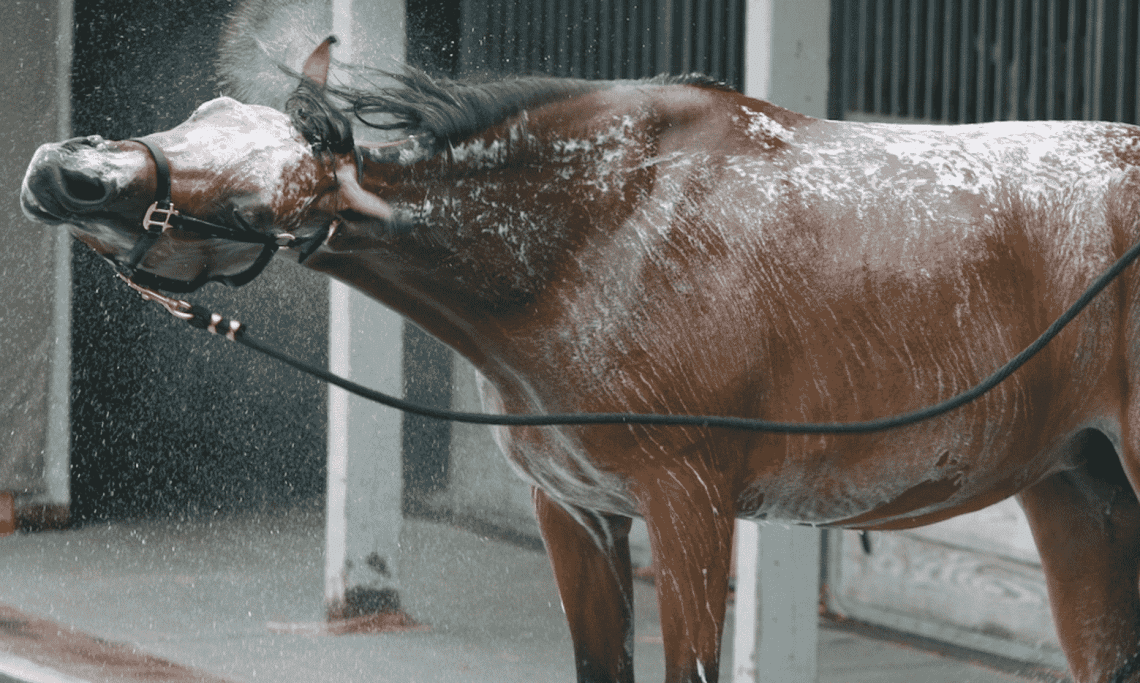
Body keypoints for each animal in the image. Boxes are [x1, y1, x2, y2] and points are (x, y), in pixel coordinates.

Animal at [20, 38, 1140, 683]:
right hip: (1079, 492)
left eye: (257, 204)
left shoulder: (690, 508)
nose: (65, 171)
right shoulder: (577, 512)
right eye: (202, 113)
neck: (599, 233)